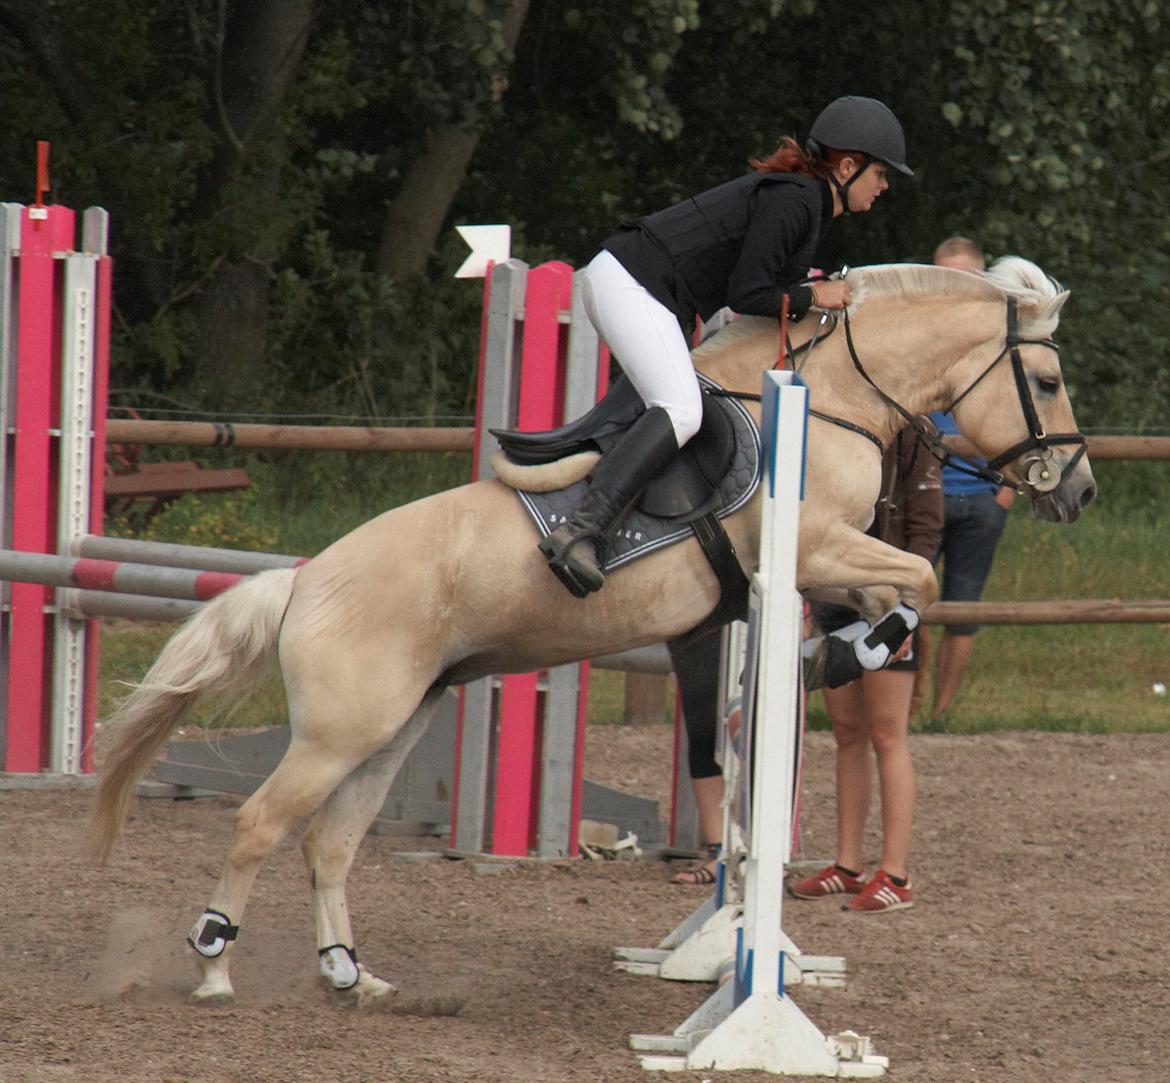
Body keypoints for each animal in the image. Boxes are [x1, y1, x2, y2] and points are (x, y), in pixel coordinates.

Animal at [88, 256, 1095, 1010]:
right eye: (1046, 381)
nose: (1079, 490)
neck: (833, 393)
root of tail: (303, 582)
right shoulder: (810, 544)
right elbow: (916, 579)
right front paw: (851, 653)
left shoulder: (822, 561)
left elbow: (900, 586)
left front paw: (835, 653)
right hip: (343, 729)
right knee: (262, 822)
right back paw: (215, 963)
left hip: (395, 724)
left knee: (328, 842)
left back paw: (350, 976)